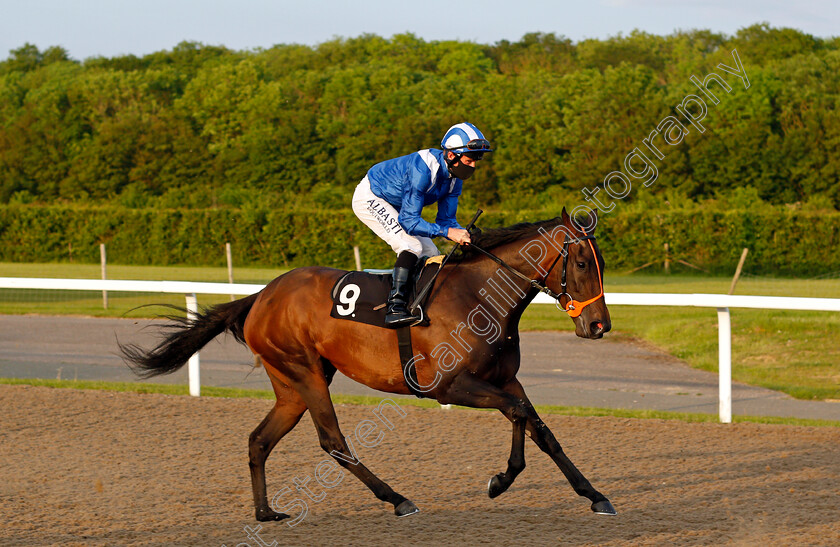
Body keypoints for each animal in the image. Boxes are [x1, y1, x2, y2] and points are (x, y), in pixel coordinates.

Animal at [120, 209, 616, 524]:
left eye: (602, 262)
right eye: (580, 261)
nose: (599, 325)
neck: (478, 295)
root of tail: (261, 295)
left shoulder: (503, 379)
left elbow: (538, 427)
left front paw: (593, 495)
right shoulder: (447, 386)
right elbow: (518, 414)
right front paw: (502, 480)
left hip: (292, 384)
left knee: (259, 439)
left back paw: (265, 512)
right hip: (304, 372)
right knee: (333, 441)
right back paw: (397, 499)